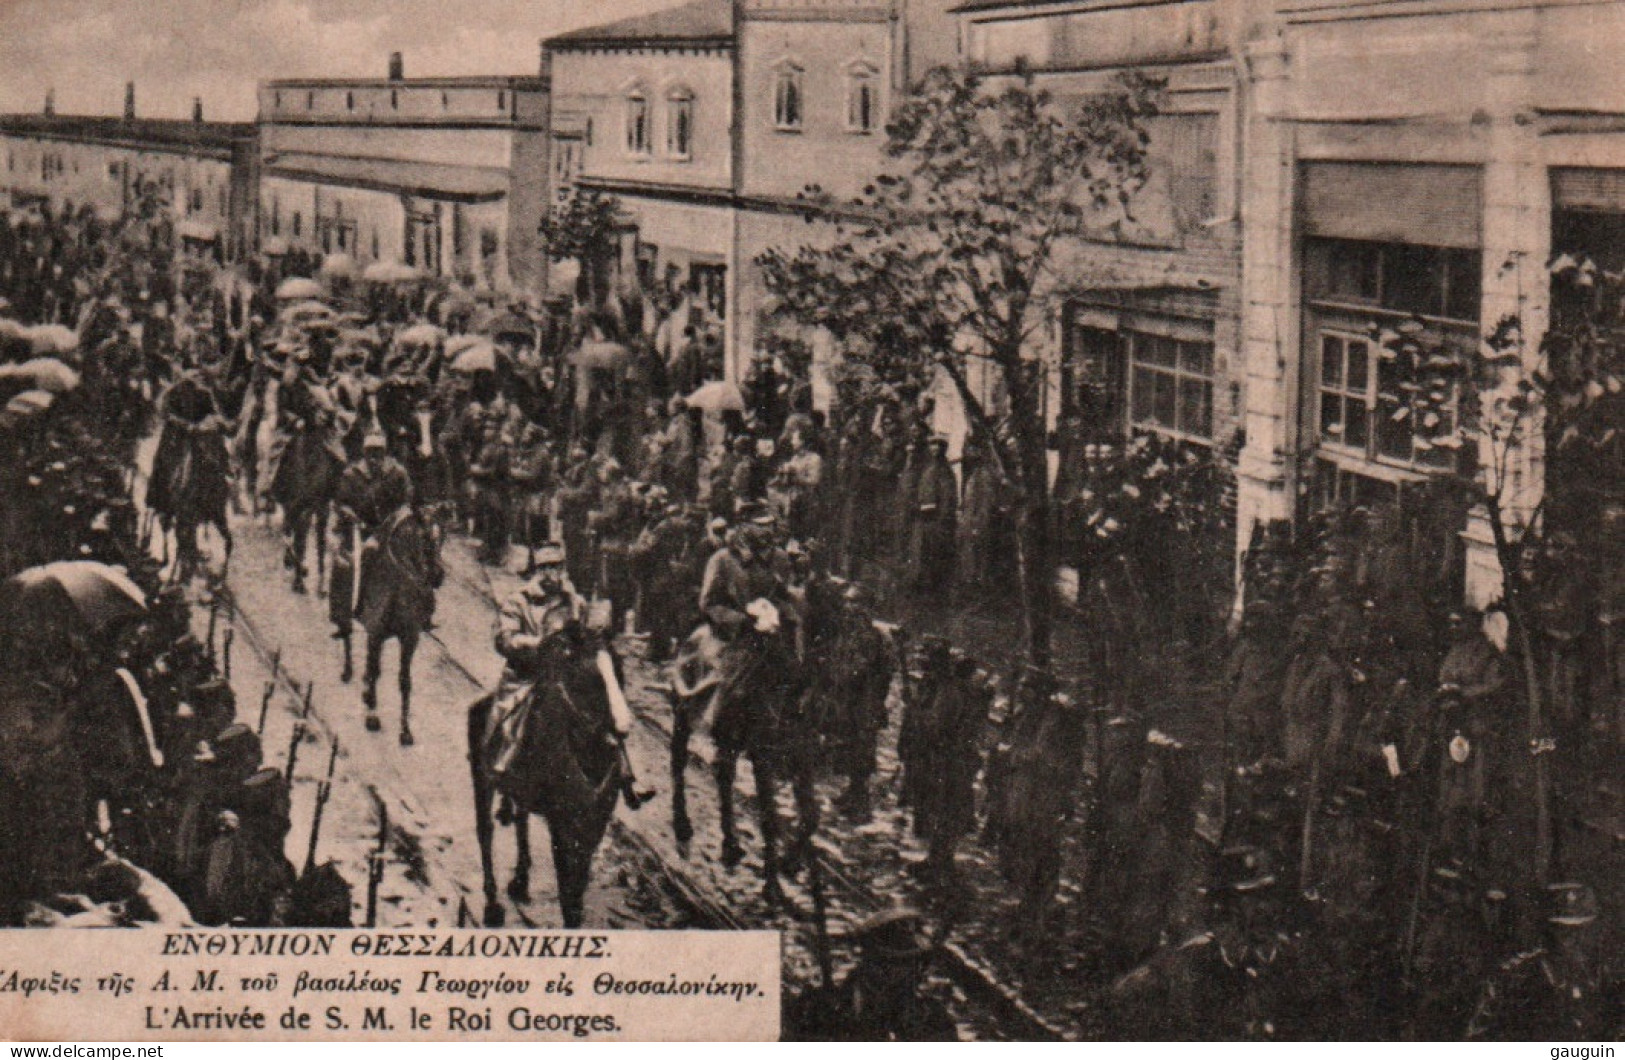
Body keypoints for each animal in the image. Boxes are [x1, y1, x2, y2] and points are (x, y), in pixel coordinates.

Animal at [355, 503, 442, 744]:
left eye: (443, 539)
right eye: (424, 538)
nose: (438, 576)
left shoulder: (410, 639)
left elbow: (405, 681)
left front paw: (405, 730)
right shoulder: (375, 634)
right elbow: (375, 671)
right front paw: (372, 716)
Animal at [471, 630, 627, 929]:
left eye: (619, 669)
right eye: (588, 676)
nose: (623, 727)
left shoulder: (592, 826)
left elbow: (577, 885)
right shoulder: (560, 823)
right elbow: (566, 886)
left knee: (521, 821)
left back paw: (520, 881)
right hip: (481, 775)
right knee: (485, 831)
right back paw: (492, 904)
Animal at [663, 608, 819, 903]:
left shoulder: (801, 755)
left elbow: (811, 816)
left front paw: (790, 861)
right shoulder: (763, 757)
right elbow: (770, 818)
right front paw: (772, 885)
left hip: (728, 736)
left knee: (724, 776)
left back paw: (731, 843)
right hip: (684, 713)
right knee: (678, 759)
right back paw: (683, 824)